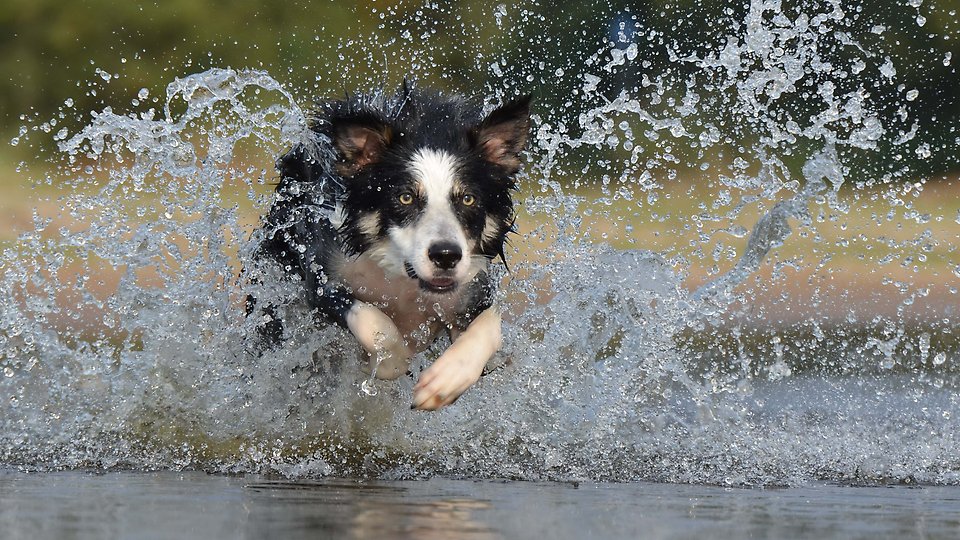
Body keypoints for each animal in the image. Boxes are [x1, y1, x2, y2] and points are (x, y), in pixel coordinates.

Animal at [249, 84, 532, 412]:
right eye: (405, 197)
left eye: (468, 199)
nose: (446, 255)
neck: (402, 279)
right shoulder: (322, 278)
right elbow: (375, 323)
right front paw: (388, 362)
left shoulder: (473, 288)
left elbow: (490, 326)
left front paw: (446, 380)